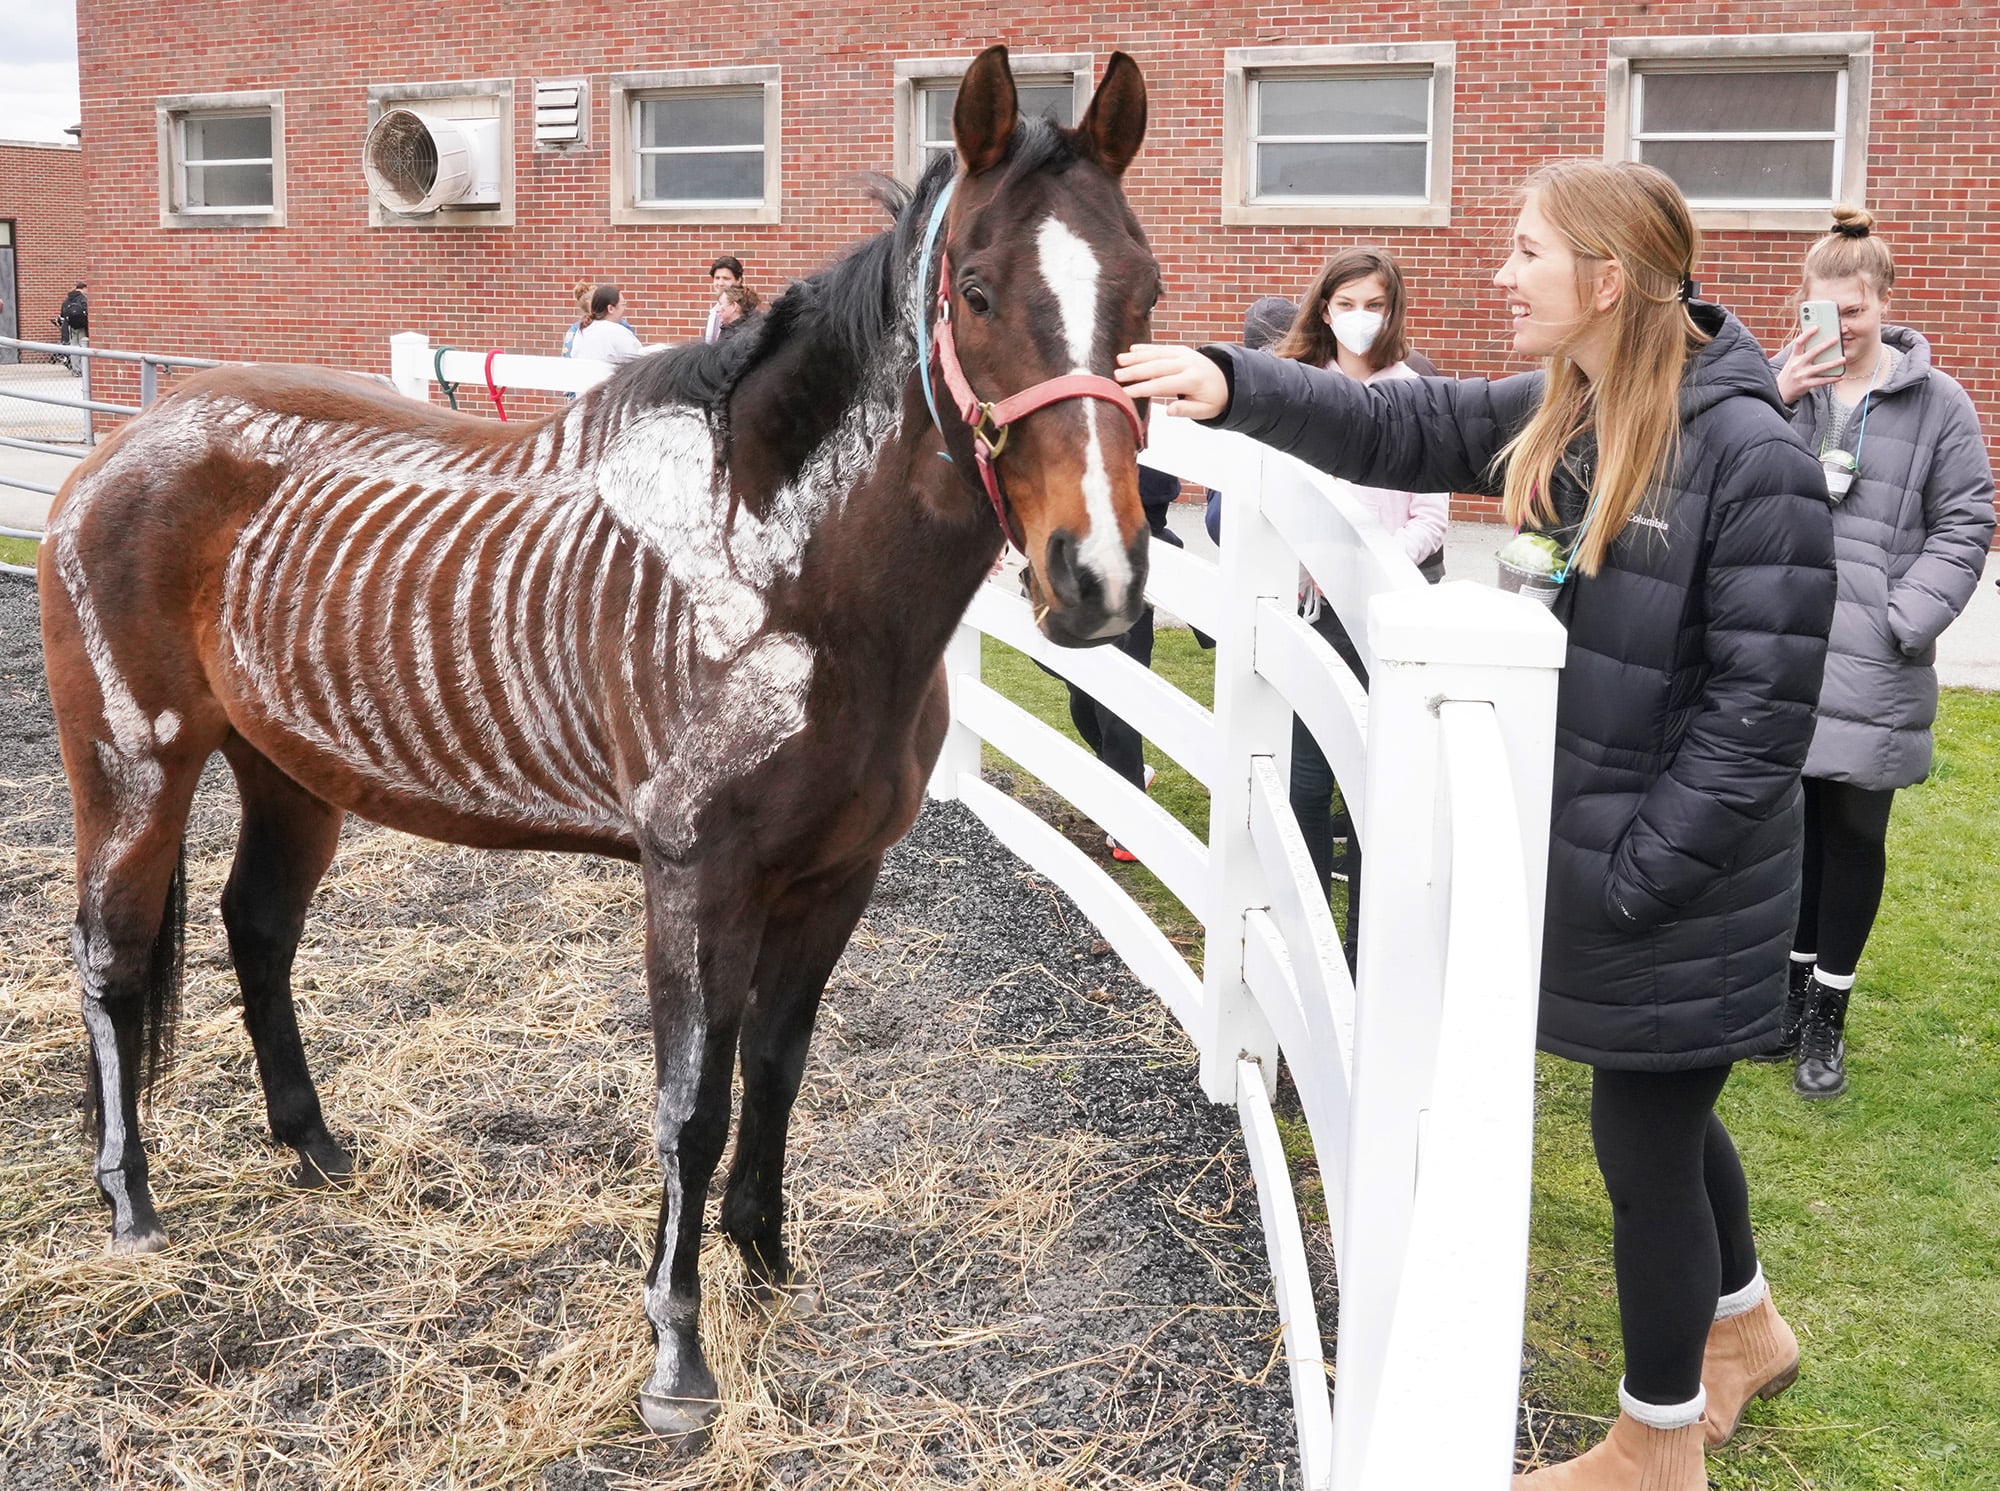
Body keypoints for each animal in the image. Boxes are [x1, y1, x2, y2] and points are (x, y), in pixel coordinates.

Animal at [36, 45, 1160, 1442]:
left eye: (1143, 291)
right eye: (977, 289)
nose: (1097, 580)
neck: (777, 565)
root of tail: (126, 444)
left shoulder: (837, 879)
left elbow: (775, 1068)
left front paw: (764, 1257)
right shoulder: (693, 880)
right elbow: (690, 1103)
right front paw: (677, 1356)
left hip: (288, 772)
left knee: (256, 930)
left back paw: (313, 1146)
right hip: (134, 768)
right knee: (109, 959)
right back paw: (131, 1202)